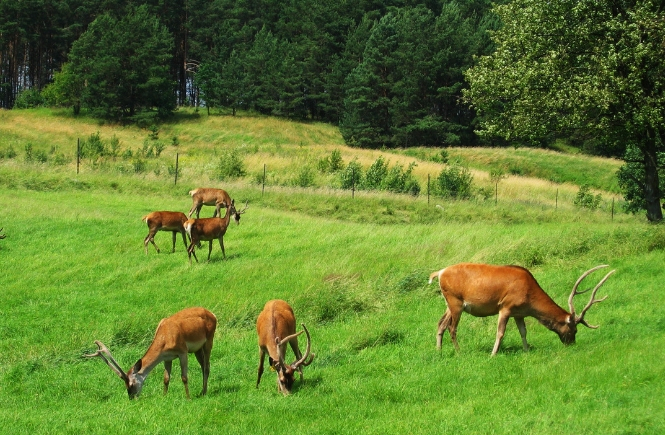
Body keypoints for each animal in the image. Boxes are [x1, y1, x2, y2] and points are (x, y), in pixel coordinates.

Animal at [83, 304, 215, 400]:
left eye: (131, 384)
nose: (131, 398)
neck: (165, 339)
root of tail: (212, 314)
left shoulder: (183, 351)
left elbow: (184, 377)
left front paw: (188, 398)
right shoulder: (167, 357)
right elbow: (166, 378)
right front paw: (164, 397)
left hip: (209, 339)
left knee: (207, 366)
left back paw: (204, 392)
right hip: (197, 349)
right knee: (203, 364)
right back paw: (203, 390)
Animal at [428, 264, 616, 356]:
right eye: (574, 330)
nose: (572, 344)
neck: (529, 298)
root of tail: (439, 273)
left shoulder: (518, 313)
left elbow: (523, 332)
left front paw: (526, 351)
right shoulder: (506, 307)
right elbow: (500, 333)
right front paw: (493, 354)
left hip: (449, 304)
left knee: (440, 324)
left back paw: (439, 351)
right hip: (455, 302)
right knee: (452, 327)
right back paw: (459, 352)